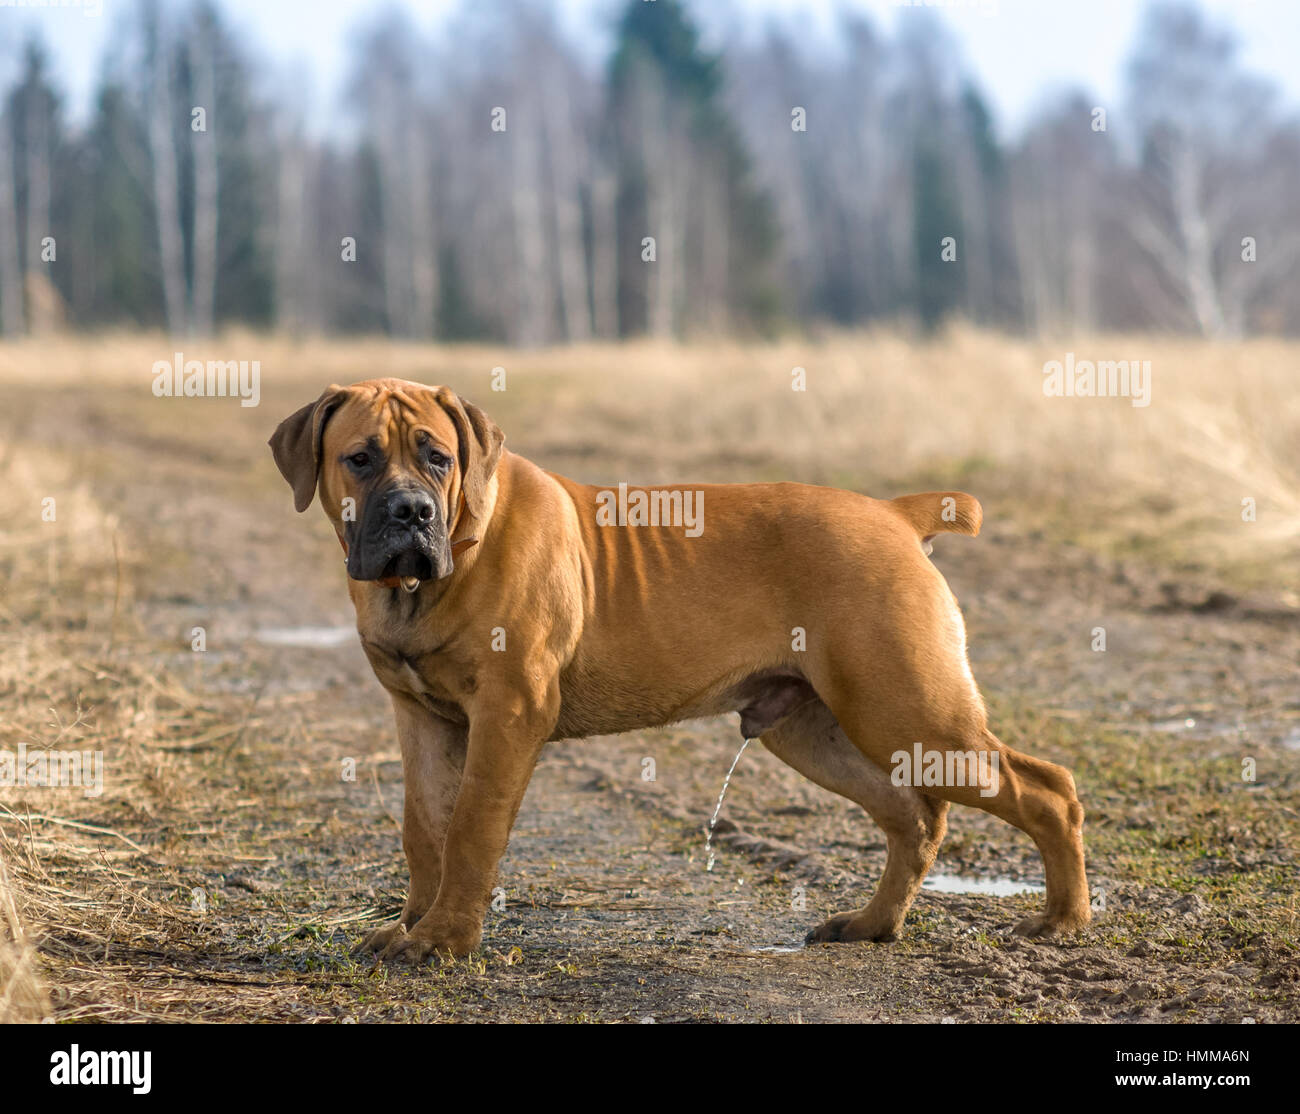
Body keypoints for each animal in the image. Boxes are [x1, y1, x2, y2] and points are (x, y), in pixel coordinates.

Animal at [271, 379, 1086, 956]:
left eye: (437, 457)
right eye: (360, 458)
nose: (411, 511)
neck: (428, 579)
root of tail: (894, 513)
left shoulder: (506, 716)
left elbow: (471, 829)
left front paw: (444, 941)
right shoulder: (423, 720)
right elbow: (425, 831)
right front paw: (412, 926)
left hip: (908, 711)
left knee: (1046, 789)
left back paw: (1060, 921)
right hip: (815, 730)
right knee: (913, 816)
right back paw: (871, 925)